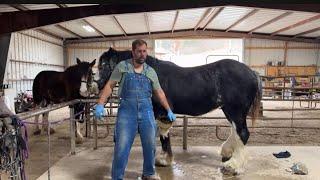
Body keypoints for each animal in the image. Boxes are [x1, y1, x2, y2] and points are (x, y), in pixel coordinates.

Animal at [98, 47, 262, 174]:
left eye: (104, 65)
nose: (98, 85)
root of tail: (252, 73)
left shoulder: (160, 112)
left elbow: (162, 135)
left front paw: (162, 160)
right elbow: (164, 135)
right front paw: (165, 160)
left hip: (235, 110)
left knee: (242, 133)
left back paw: (233, 166)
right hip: (230, 111)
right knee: (235, 131)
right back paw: (227, 153)